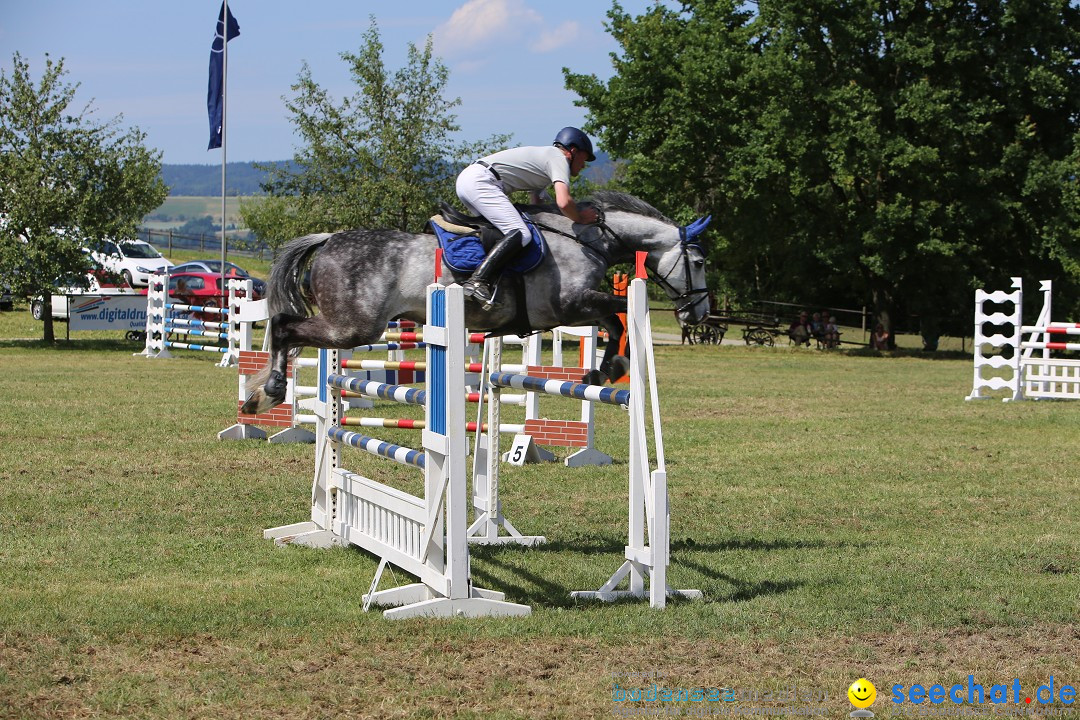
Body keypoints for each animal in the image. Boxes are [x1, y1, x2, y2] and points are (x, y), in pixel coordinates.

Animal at [247, 191, 717, 414]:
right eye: (698, 262)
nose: (699, 313)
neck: (587, 240)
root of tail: (328, 240)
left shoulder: (576, 308)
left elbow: (614, 320)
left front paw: (601, 371)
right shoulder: (569, 305)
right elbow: (618, 315)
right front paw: (611, 367)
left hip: (347, 326)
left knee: (290, 330)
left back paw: (263, 395)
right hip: (353, 327)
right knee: (285, 326)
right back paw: (268, 391)